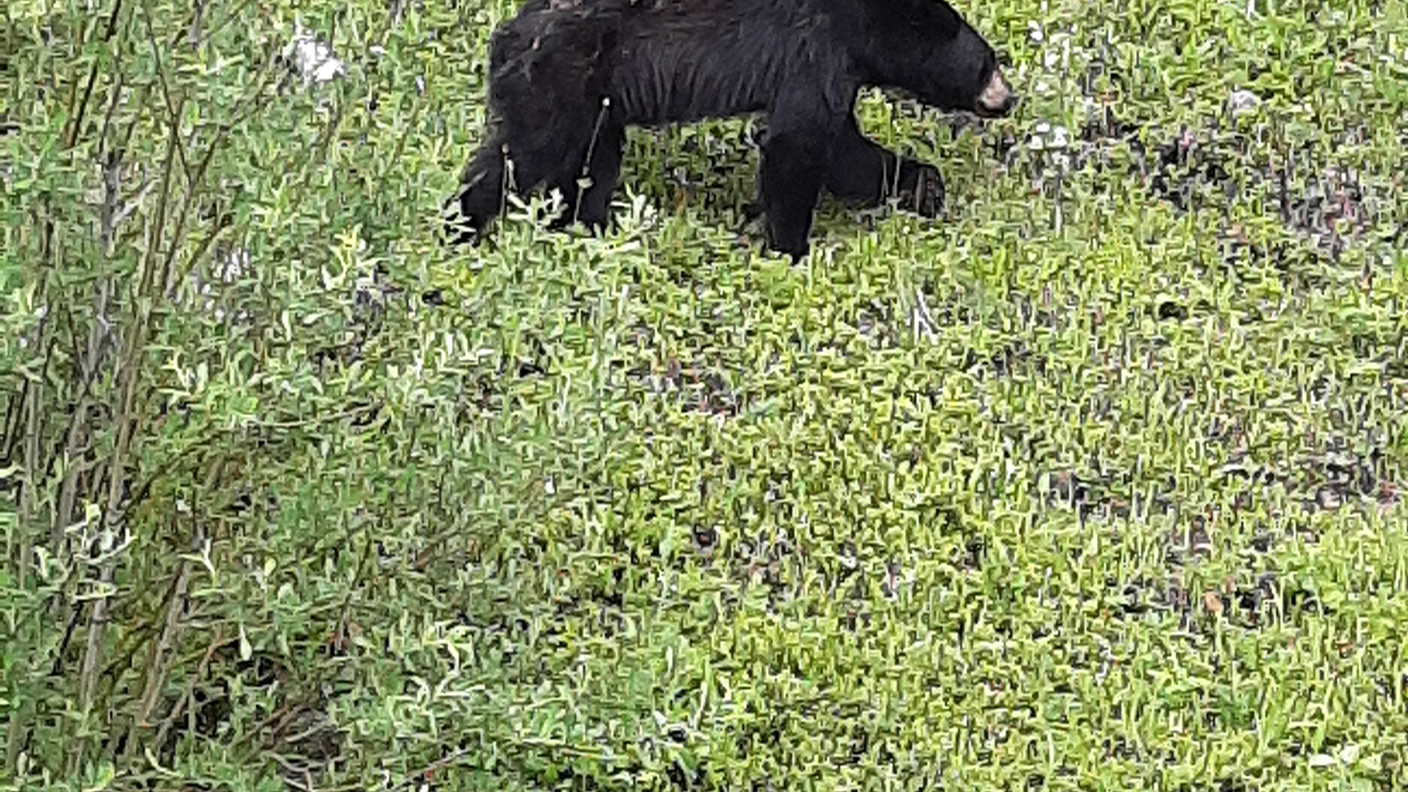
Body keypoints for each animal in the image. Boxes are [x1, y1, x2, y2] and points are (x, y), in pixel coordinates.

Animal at [444, 0, 1019, 262]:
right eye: (989, 63)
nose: (1009, 96)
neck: (867, 23)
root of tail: (505, 34)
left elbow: (842, 150)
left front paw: (923, 183)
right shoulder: (815, 51)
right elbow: (800, 145)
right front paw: (791, 249)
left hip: (597, 105)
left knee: (591, 166)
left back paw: (591, 226)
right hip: (558, 83)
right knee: (520, 156)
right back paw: (461, 226)